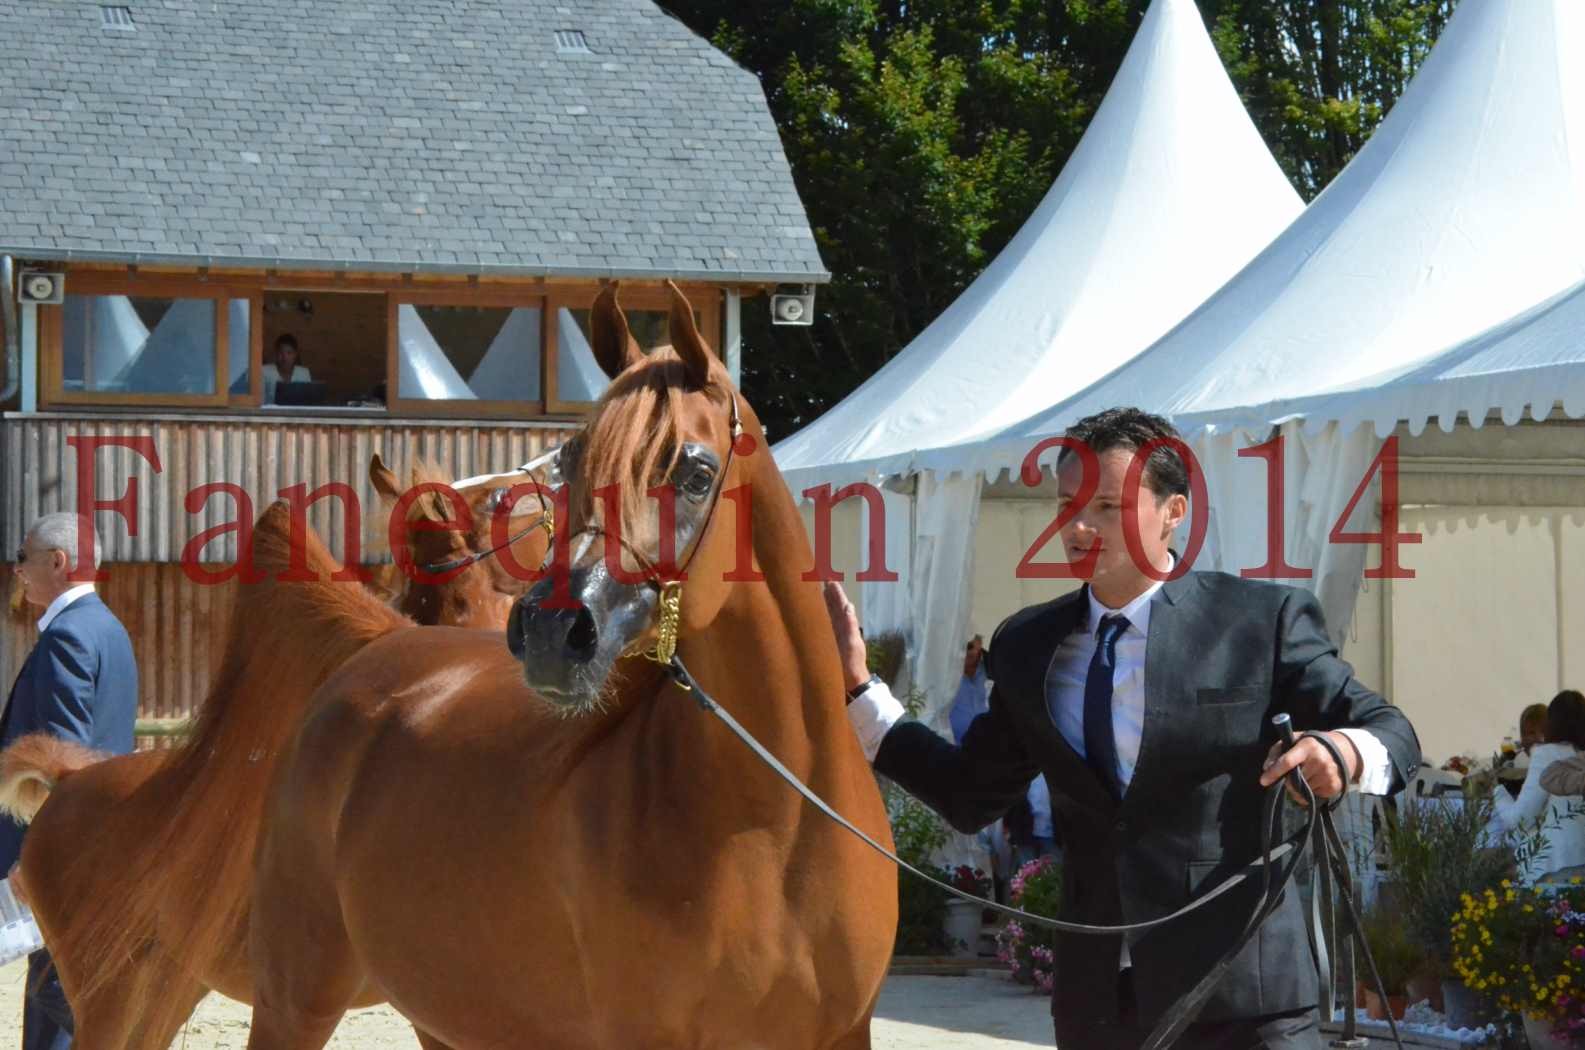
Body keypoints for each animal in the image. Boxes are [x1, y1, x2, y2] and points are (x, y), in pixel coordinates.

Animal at [240, 279, 900, 1050]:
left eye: (697, 472)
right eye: (574, 461)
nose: (554, 630)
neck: (777, 829)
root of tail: (380, 646)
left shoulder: (845, 1033)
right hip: (296, 996)